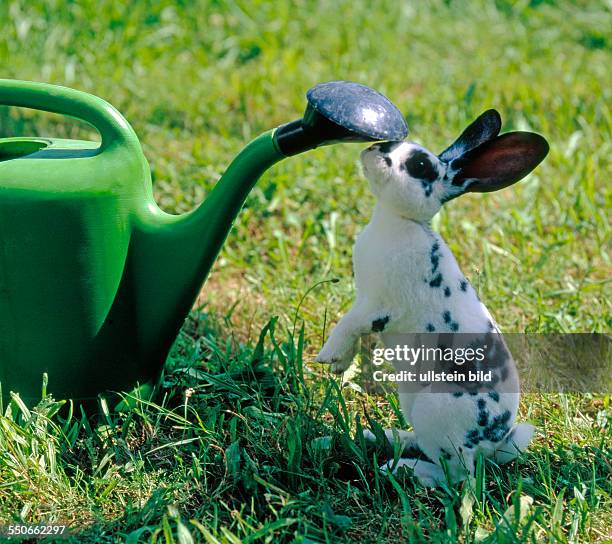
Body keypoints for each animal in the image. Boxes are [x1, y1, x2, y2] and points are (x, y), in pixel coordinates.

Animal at [318, 111, 548, 488]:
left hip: (434, 412)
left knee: (456, 476)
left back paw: (401, 468)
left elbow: (349, 324)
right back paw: (380, 437)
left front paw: (329, 356)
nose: (375, 148)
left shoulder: (377, 306)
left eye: (421, 165)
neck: (399, 221)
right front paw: (341, 365)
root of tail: (493, 441)